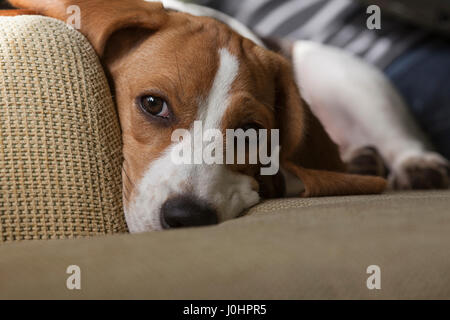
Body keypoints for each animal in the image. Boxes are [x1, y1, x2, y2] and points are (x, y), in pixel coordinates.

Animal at [4, 0, 450, 231]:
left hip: (346, 77)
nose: (187, 217)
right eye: (153, 104)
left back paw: (414, 165)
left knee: (400, 141)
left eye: (250, 132)